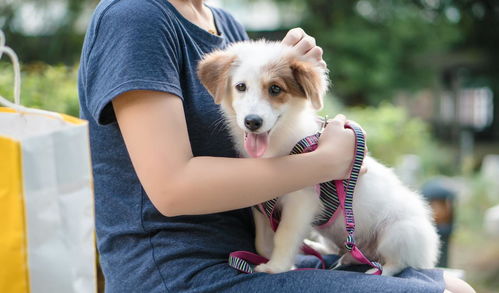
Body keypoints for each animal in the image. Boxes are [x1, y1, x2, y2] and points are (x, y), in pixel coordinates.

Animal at [197, 40, 440, 274]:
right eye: (241, 87)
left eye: (275, 88)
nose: (252, 121)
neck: (280, 145)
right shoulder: (261, 202)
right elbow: (263, 241)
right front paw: (278, 261)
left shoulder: (301, 201)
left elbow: (284, 234)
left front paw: (277, 267)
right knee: (342, 250)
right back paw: (329, 251)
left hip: (399, 233)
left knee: (397, 262)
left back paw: (377, 270)